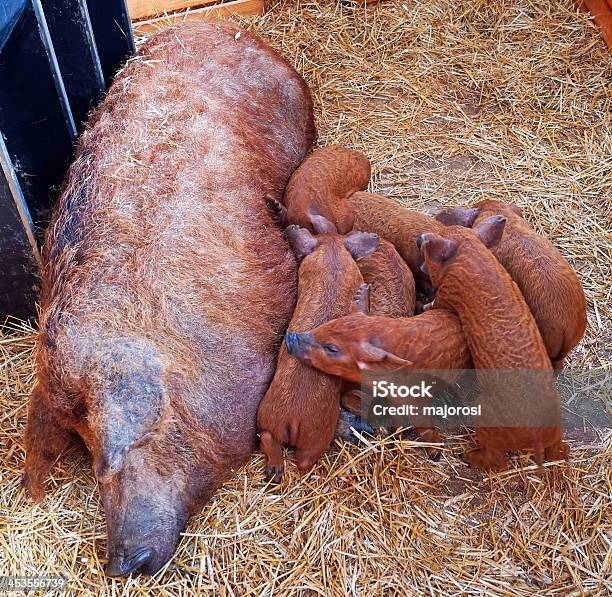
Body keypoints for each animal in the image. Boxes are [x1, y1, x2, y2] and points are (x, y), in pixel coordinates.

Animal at [256, 226, 380, 482]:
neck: (332, 257)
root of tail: (292, 420)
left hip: (267, 413)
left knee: (268, 437)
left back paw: (274, 473)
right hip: (317, 434)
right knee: (303, 460)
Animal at [418, 215, 568, 470]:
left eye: (432, 251)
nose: (421, 237)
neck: (471, 254)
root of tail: (537, 433)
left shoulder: (446, 294)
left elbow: (435, 304)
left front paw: (424, 306)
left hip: (487, 420)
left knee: (498, 460)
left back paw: (466, 456)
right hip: (555, 430)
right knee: (557, 452)